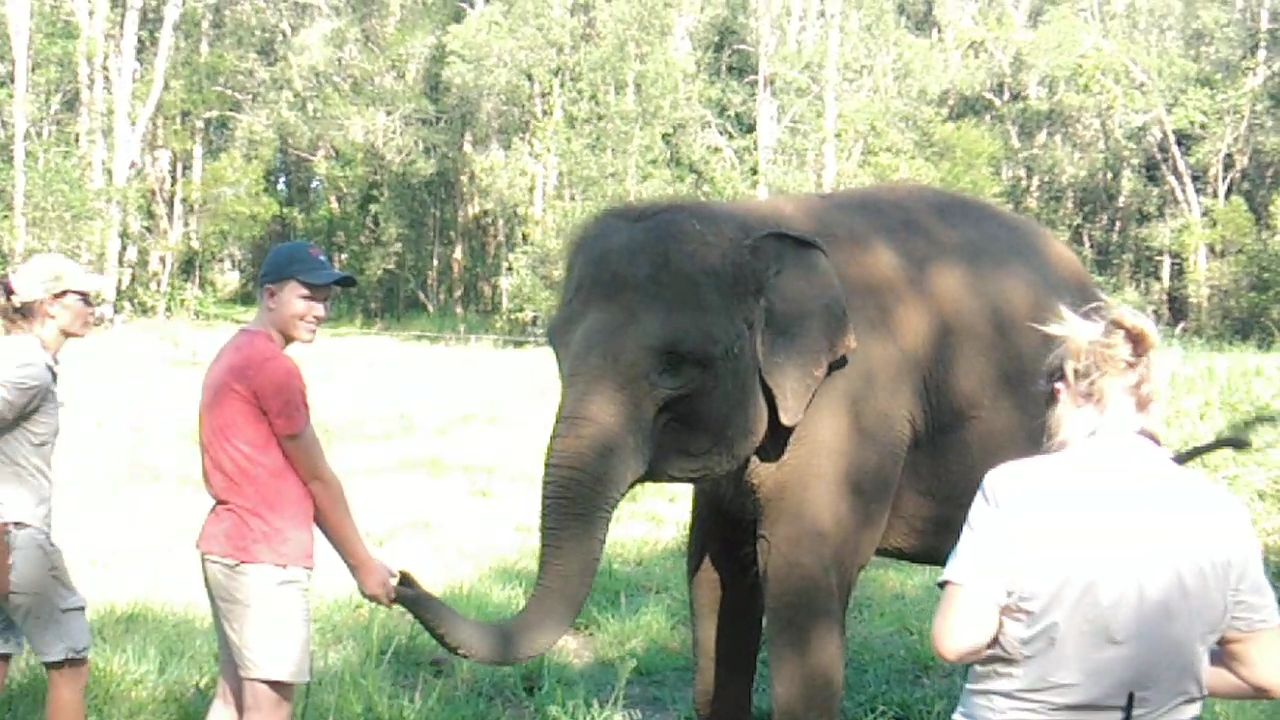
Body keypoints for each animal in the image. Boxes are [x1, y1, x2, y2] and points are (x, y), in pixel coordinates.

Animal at [395, 184, 1104, 719]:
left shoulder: (855, 400)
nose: (399, 577)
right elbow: (715, 572)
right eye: (555, 348)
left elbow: (801, 578)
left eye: (675, 367)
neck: (750, 219)